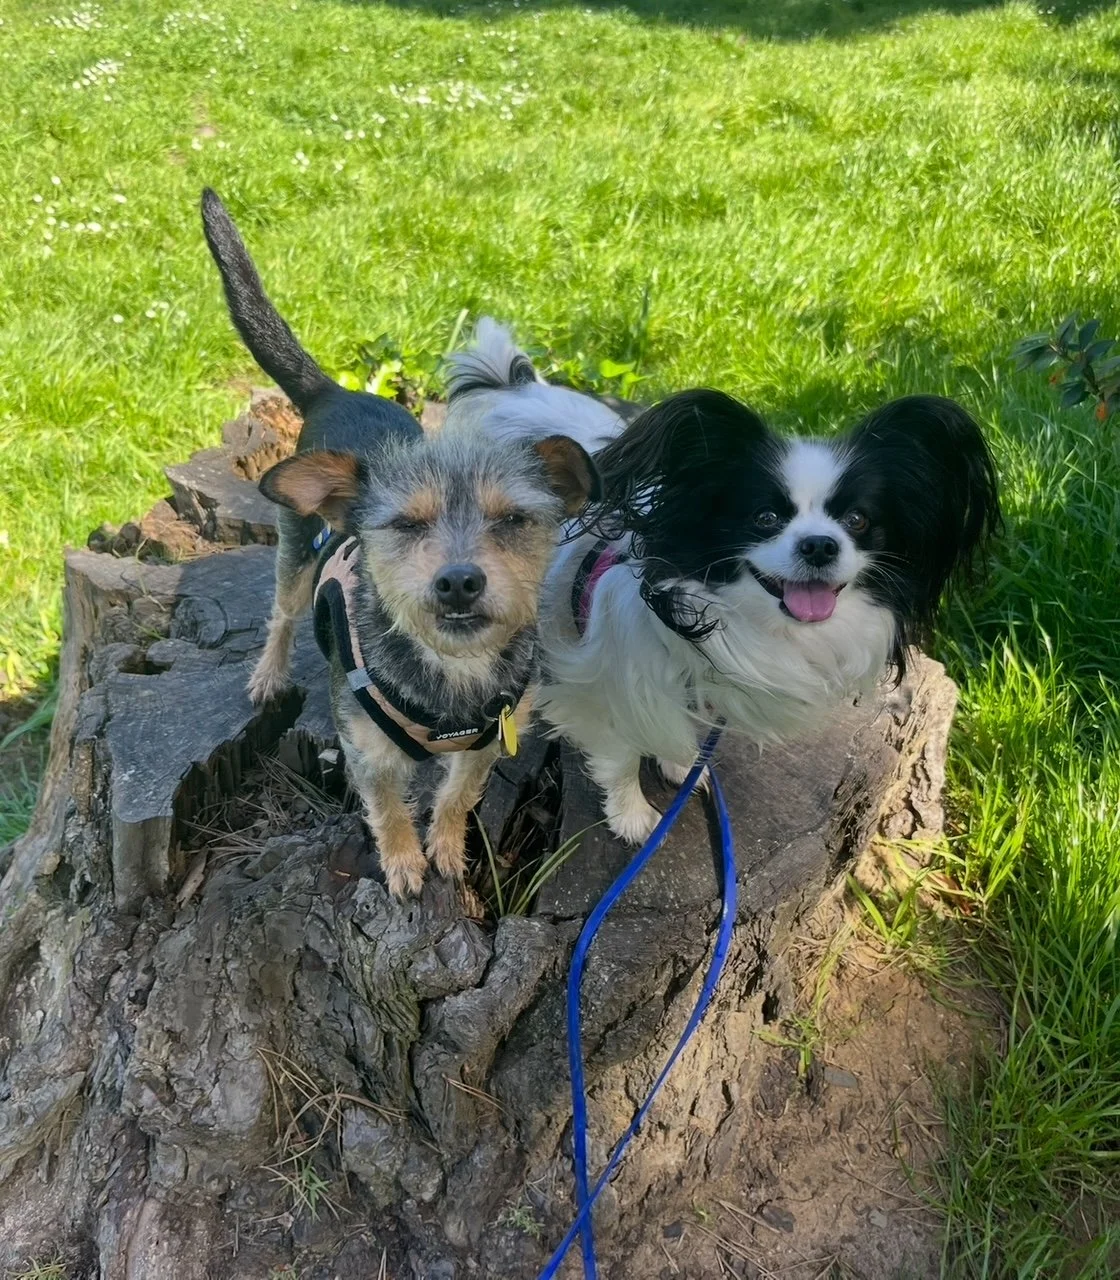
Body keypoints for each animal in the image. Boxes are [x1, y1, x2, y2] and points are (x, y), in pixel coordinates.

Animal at [201, 195, 599, 895]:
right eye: (407, 525)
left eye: (513, 519)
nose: (460, 580)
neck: (452, 676)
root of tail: (337, 390)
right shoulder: (364, 749)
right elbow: (387, 806)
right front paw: (405, 862)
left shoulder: (489, 743)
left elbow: (457, 797)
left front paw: (445, 848)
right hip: (296, 548)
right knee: (281, 612)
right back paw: (269, 674)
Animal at [447, 321, 1001, 844]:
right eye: (765, 517)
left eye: (858, 521)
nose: (820, 545)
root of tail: (509, 387)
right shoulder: (602, 684)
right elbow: (622, 754)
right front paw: (632, 815)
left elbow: (684, 728)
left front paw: (681, 764)